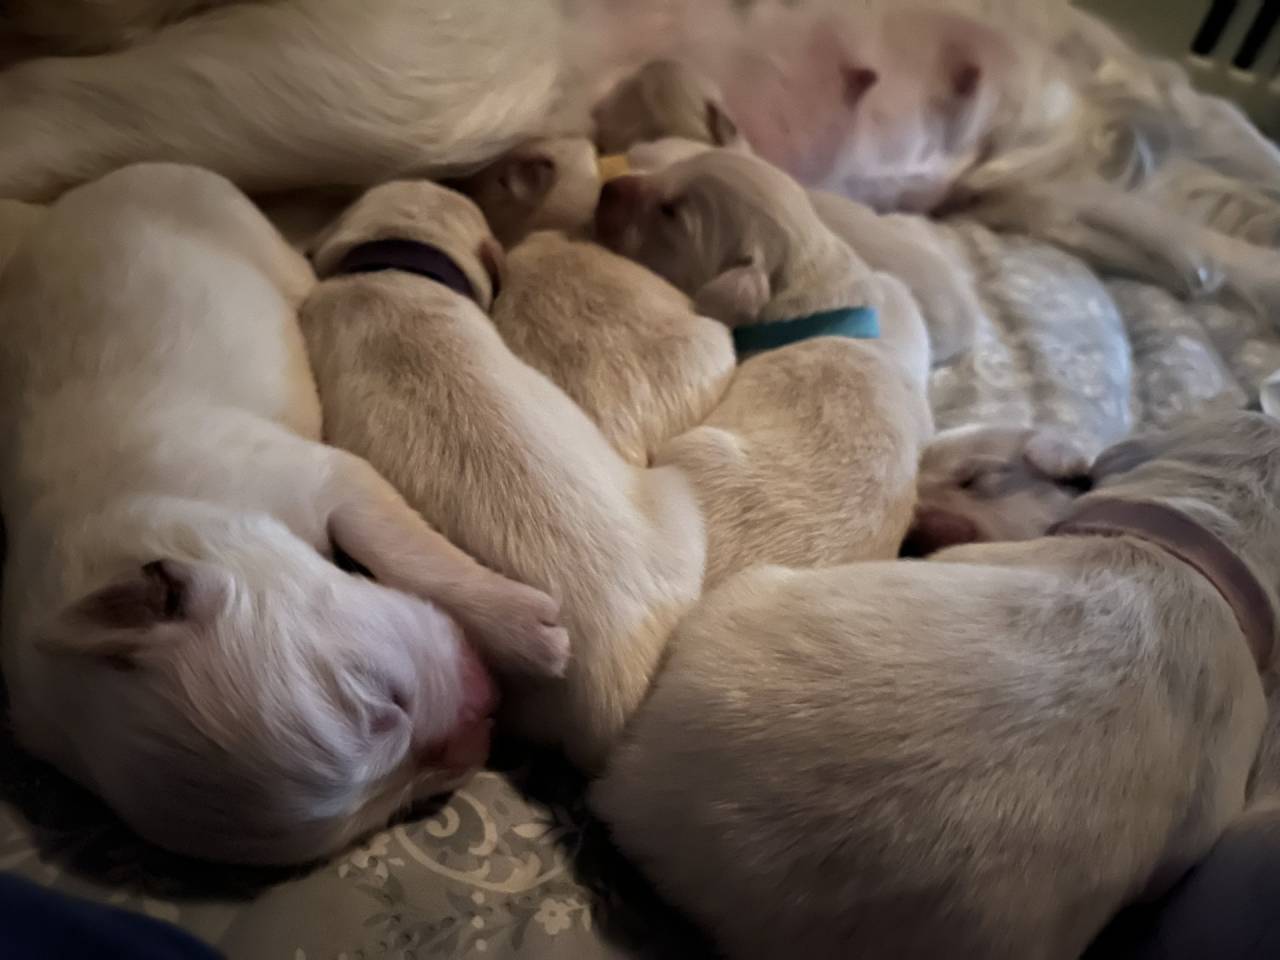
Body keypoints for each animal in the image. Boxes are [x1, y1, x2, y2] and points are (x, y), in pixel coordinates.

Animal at [0, 163, 567, 865]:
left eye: (386, 701)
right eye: (383, 812)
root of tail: (129, 171)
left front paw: (525, 628)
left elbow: (409, 550)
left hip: (271, 253)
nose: (487, 723)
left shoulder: (329, 477)